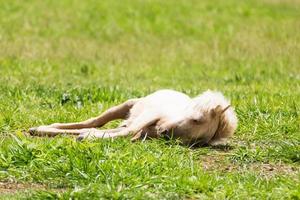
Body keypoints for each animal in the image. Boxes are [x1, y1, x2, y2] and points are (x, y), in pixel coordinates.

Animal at [29, 90, 238, 146]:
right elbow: (129, 130)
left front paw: (89, 137)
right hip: (127, 105)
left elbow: (128, 133)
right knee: (95, 121)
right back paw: (39, 129)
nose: (164, 133)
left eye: (196, 141)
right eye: (196, 119)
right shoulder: (150, 115)